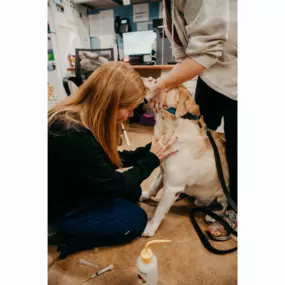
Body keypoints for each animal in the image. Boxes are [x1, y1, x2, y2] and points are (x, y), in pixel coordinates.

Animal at [140, 76, 229, 236]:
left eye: (156, 81)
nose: (143, 77)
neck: (169, 128)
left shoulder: (172, 186)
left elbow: (160, 210)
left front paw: (150, 227)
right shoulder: (163, 169)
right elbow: (154, 185)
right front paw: (146, 194)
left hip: (223, 193)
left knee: (224, 205)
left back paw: (213, 217)